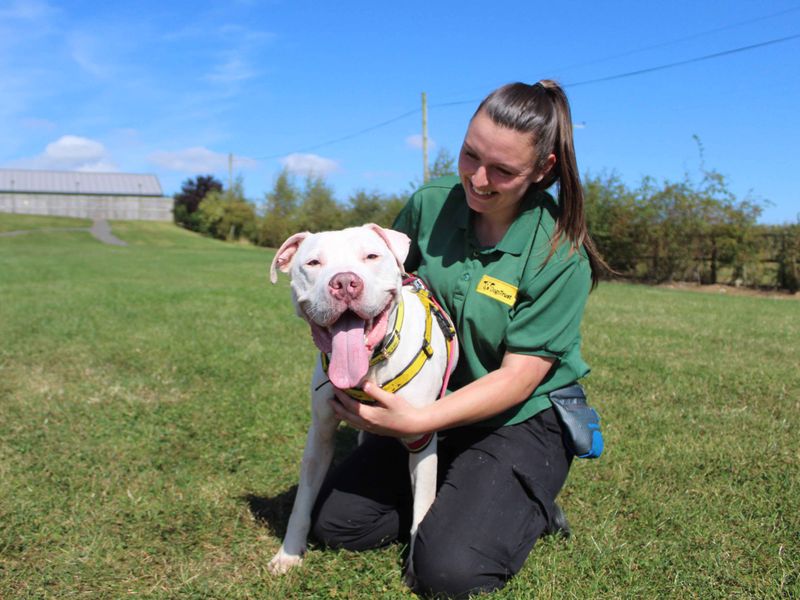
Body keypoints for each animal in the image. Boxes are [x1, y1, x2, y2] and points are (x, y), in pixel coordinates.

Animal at [268, 224, 456, 576]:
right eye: (313, 263)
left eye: (371, 256)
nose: (344, 282)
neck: (372, 367)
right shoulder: (320, 435)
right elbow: (302, 502)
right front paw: (289, 553)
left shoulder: (422, 439)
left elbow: (422, 507)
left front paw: (414, 567)